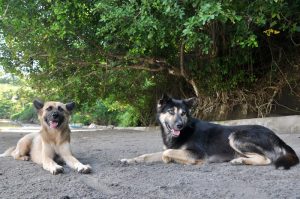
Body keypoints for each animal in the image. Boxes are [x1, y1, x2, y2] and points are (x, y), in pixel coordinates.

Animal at [121, 95, 298, 169]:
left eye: (183, 113)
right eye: (171, 112)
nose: (179, 125)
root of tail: (276, 137)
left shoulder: (196, 153)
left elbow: (167, 153)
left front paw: (172, 160)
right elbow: (147, 156)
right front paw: (129, 160)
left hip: (235, 136)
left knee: (267, 159)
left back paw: (240, 161)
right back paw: (239, 160)